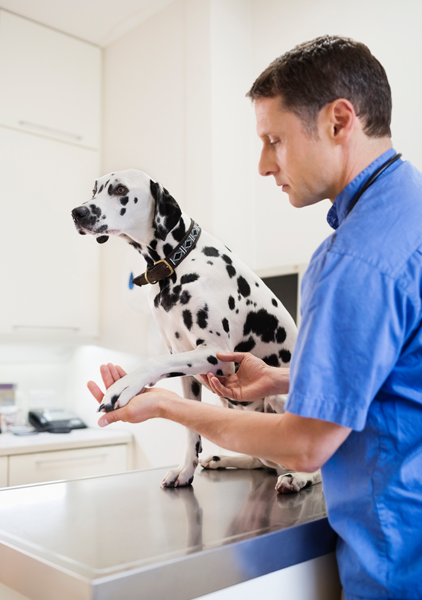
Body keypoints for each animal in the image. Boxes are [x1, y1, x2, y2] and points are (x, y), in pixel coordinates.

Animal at [71, 169, 320, 492]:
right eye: (95, 190)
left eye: (121, 190)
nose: (77, 212)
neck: (177, 261)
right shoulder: (186, 367)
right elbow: (191, 427)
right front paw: (185, 471)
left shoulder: (216, 354)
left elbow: (153, 363)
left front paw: (123, 386)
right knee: (260, 457)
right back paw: (223, 459)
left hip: (280, 398)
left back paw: (299, 477)